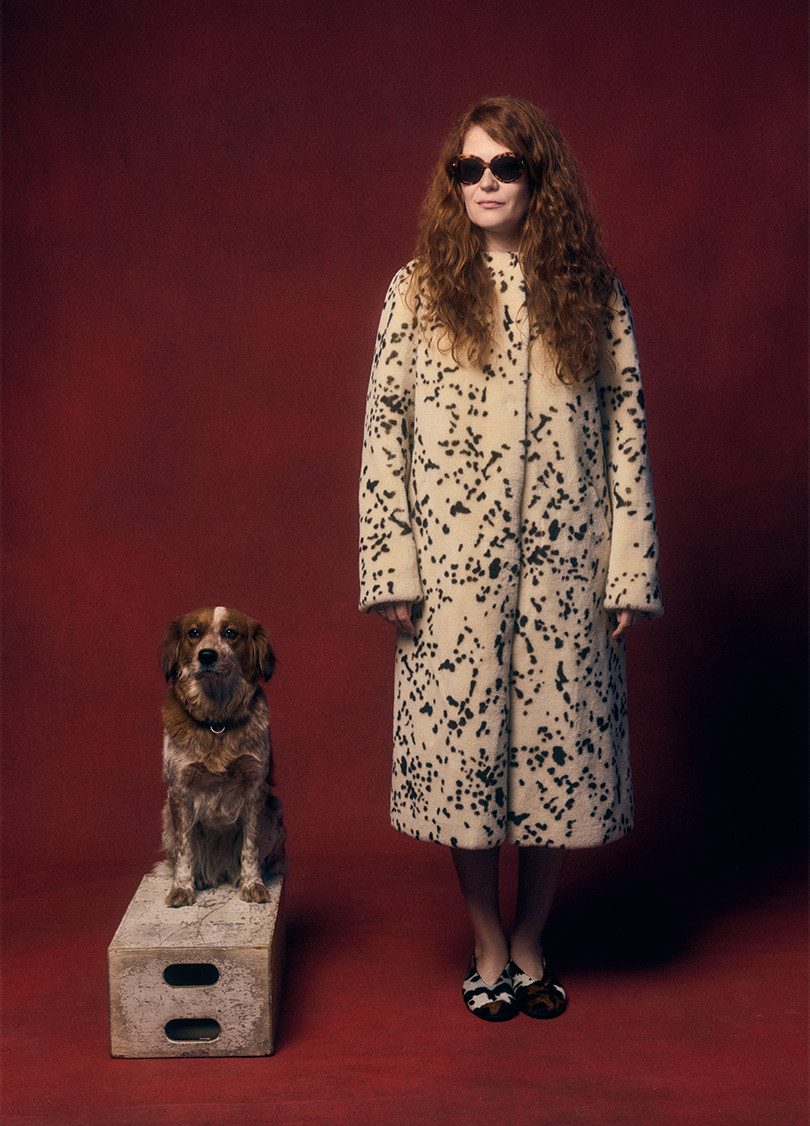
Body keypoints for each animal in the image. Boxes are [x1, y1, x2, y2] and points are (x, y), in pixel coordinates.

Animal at [159, 606, 286, 908]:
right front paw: (182, 888)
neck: (217, 722)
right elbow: (185, 850)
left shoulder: (255, 788)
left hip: (275, 814)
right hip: (166, 819)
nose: (207, 655)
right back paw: (201, 878)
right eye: (194, 633)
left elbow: (250, 847)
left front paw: (253, 884)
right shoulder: (179, 791)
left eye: (230, 633)